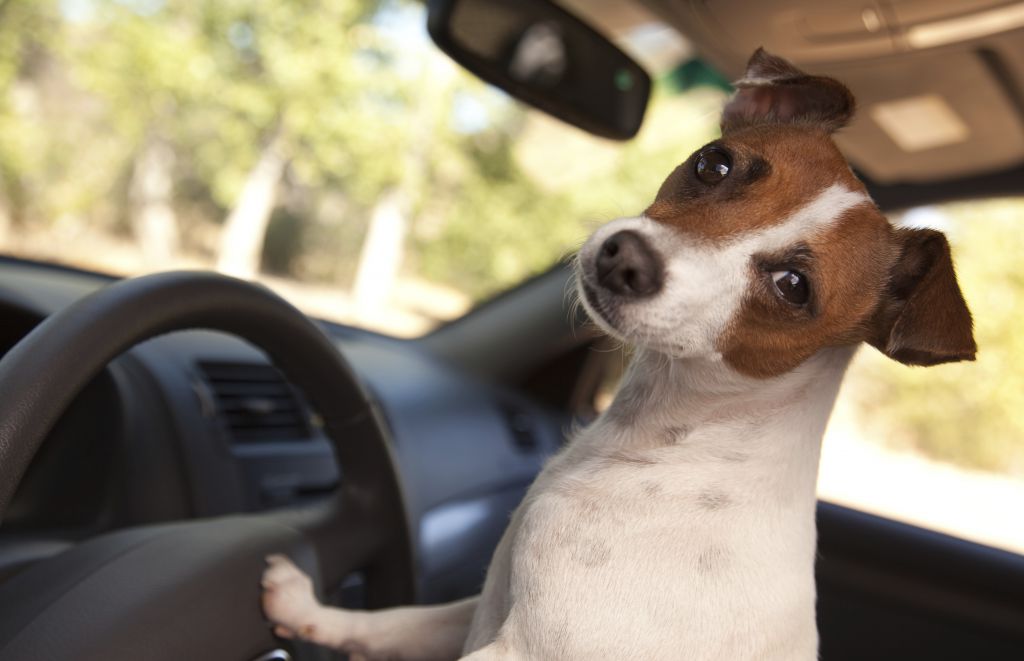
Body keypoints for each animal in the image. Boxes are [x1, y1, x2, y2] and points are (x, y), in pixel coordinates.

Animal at [258, 49, 974, 658]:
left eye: (794, 287)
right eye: (714, 163)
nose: (625, 259)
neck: (672, 442)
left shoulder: (522, 651)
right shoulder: (484, 605)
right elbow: (393, 623)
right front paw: (309, 609)